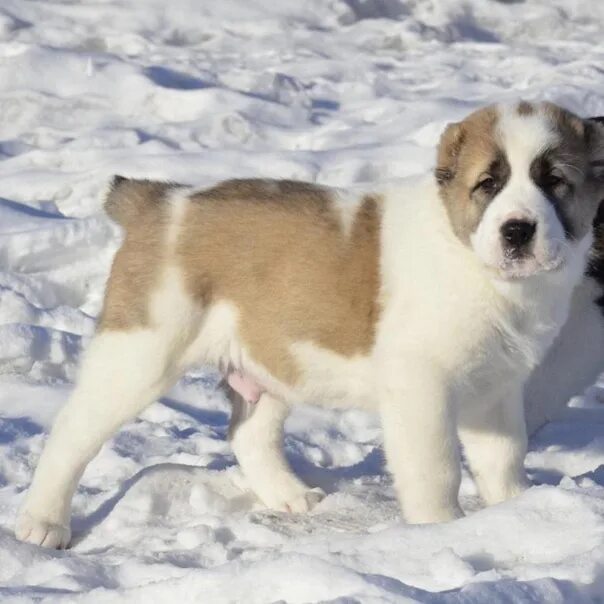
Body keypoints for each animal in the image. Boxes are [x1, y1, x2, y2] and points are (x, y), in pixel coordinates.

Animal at [14, 100, 604, 548]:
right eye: (488, 184)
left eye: (555, 182)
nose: (517, 230)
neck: (474, 261)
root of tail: (161, 201)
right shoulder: (422, 387)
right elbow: (436, 467)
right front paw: (439, 529)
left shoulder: (495, 388)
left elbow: (503, 456)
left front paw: (514, 511)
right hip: (142, 351)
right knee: (73, 431)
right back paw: (42, 523)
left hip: (269, 357)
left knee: (249, 433)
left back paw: (289, 495)